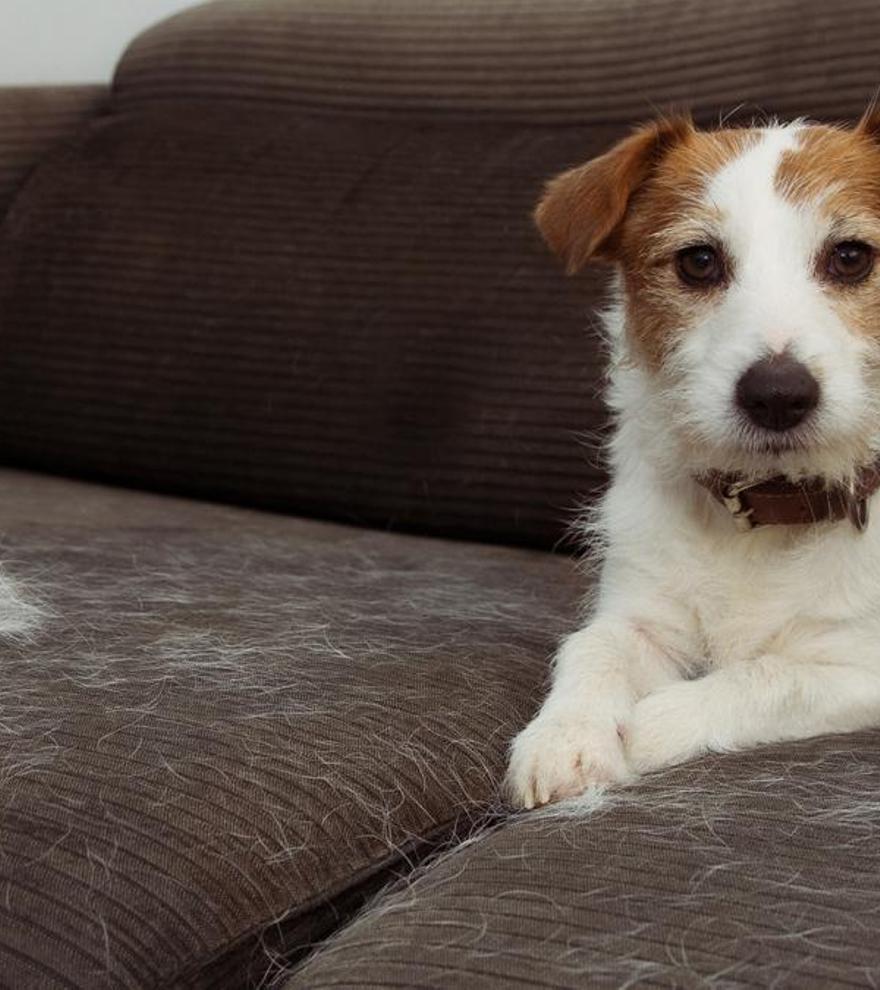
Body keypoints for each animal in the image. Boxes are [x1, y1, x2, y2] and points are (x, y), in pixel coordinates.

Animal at [508, 108, 880, 808]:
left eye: (851, 257)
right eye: (699, 261)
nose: (778, 395)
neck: (769, 505)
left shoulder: (858, 670)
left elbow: (768, 676)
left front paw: (646, 727)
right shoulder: (641, 613)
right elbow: (592, 646)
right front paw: (567, 735)